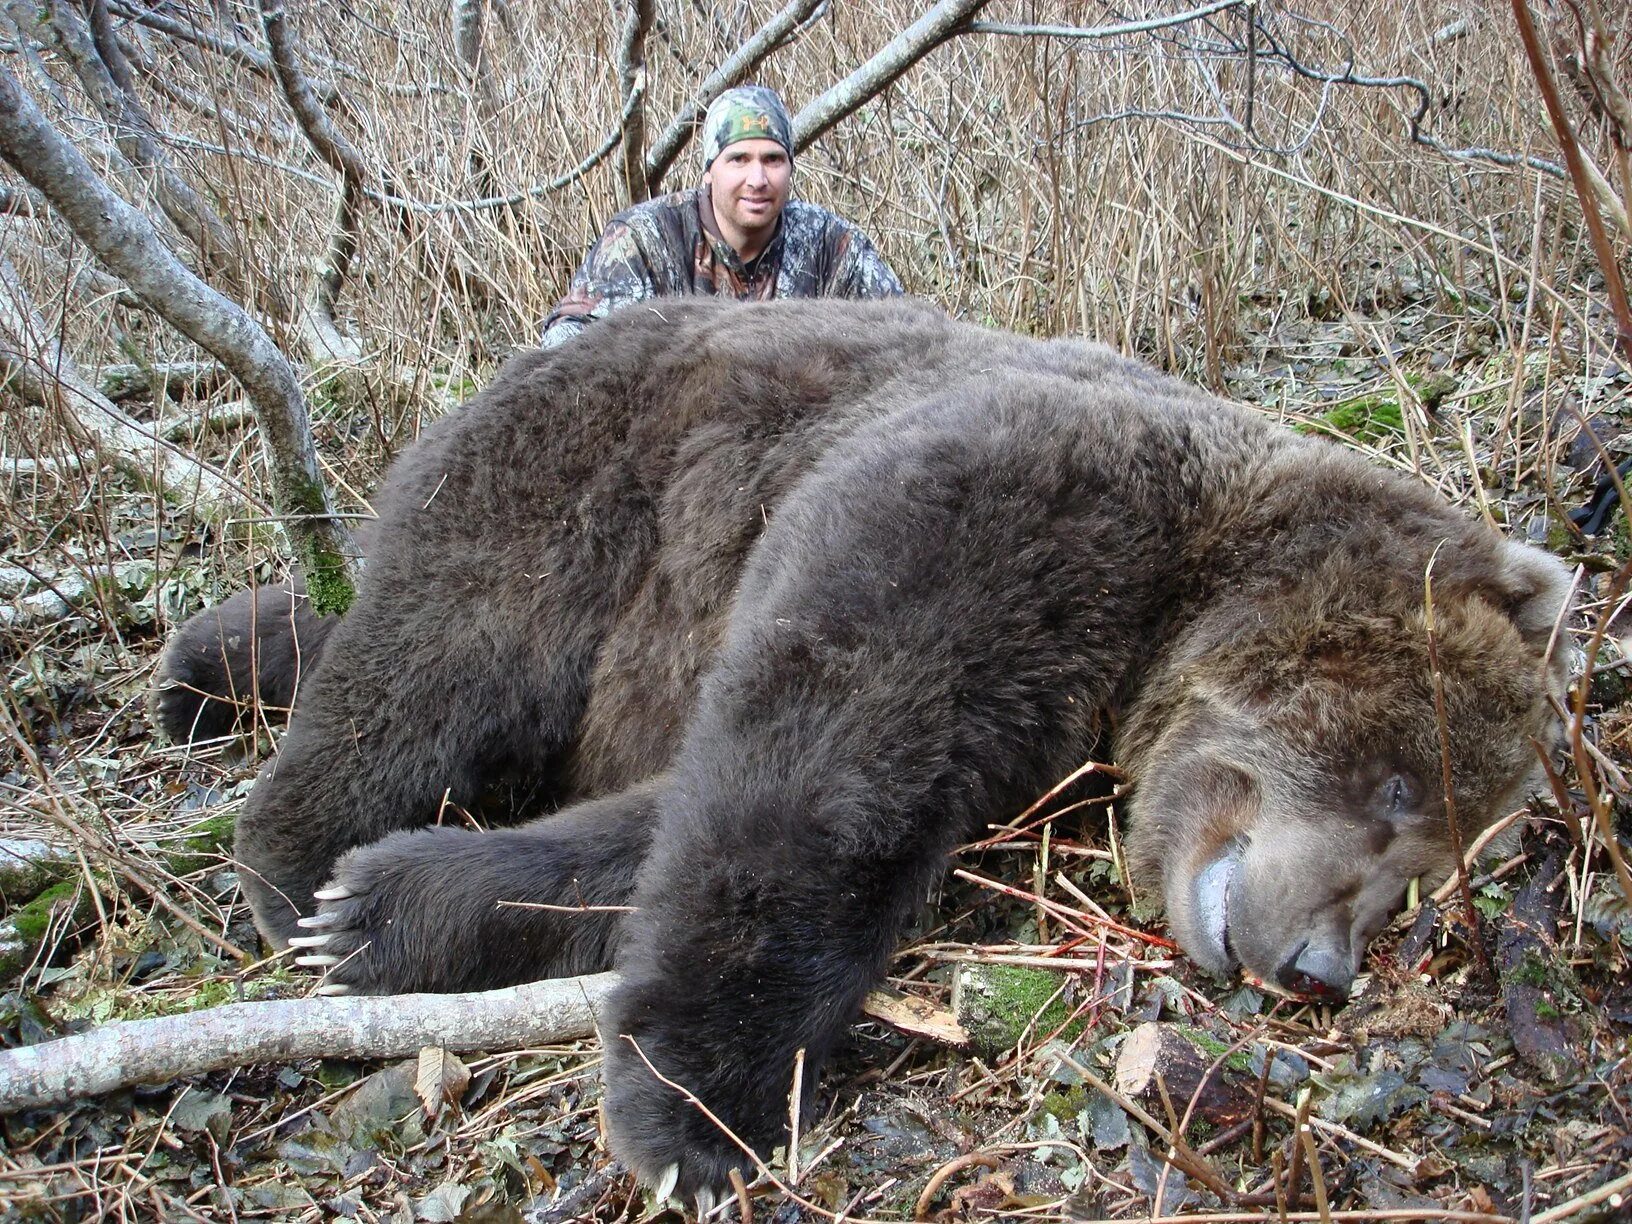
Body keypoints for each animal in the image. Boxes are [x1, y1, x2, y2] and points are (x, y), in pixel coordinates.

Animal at [153, 300, 1566, 1207]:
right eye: (1400, 782)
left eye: (1424, 876)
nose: (1321, 966)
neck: (1170, 594)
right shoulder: (1003, 498)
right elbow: (826, 753)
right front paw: (694, 1110)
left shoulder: (1029, 724)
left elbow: (680, 809)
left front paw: (404, 904)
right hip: (584, 470)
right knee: (449, 633)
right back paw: (292, 853)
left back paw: (210, 671)